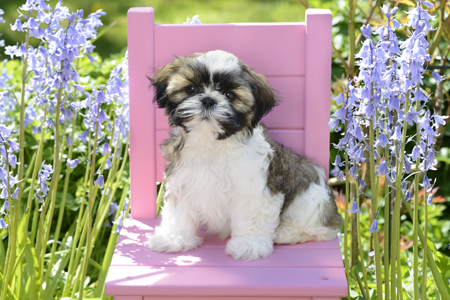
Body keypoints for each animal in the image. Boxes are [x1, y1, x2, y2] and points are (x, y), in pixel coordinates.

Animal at [147, 49, 342, 260]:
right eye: (191, 89)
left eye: (229, 95)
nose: (208, 99)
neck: (211, 142)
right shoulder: (182, 181)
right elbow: (179, 214)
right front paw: (174, 238)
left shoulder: (256, 189)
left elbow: (252, 216)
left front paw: (249, 245)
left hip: (311, 199)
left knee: (320, 230)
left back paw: (285, 233)